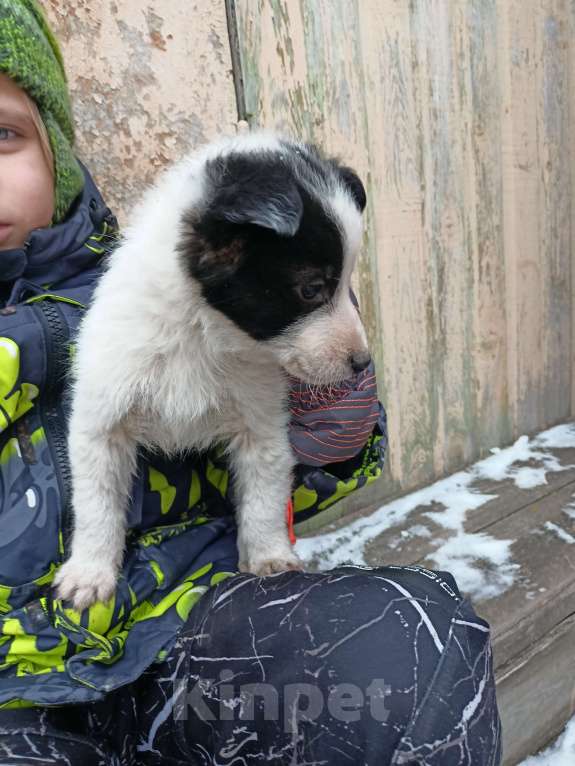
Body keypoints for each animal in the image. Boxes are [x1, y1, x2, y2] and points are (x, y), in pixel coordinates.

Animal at [53, 130, 368, 612]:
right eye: (311, 289)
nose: (362, 363)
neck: (202, 334)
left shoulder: (262, 424)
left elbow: (264, 497)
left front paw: (268, 556)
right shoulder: (102, 418)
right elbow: (96, 502)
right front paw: (89, 572)